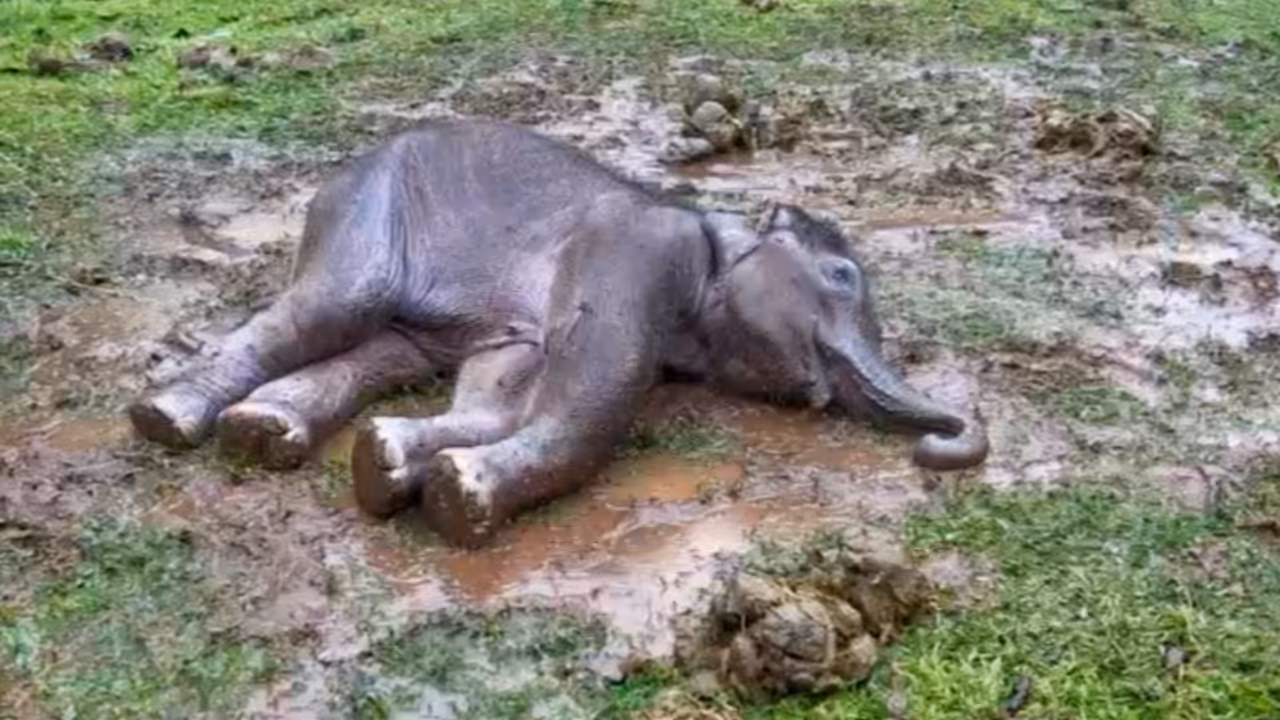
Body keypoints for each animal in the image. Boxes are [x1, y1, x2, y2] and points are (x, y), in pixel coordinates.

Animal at [128, 118, 988, 547]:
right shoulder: (636, 251)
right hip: (371, 208)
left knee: (383, 352)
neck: (714, 228)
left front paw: (391, 464)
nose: (934, 444)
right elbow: (591, 388)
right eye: (841, 277)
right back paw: (168, 419)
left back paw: (262, 432)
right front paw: (460, 499)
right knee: (330, 307)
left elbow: (501, 387)